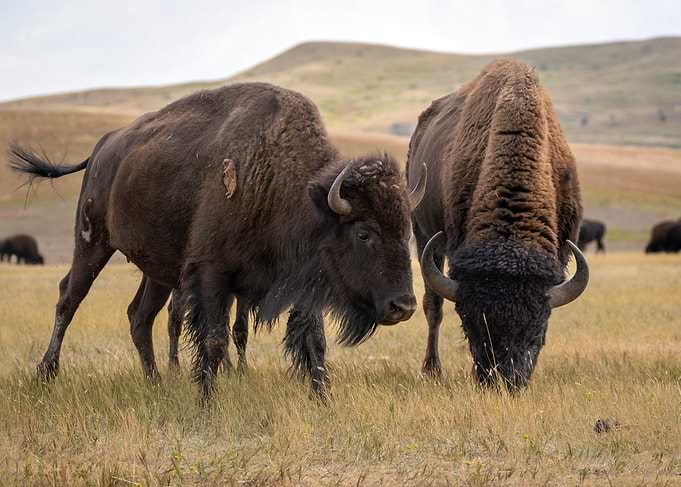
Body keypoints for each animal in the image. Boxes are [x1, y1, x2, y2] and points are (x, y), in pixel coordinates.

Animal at [10, 82, 426, 398]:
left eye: (406, 231)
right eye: (363, 232)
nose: (403, 306)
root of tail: (102, 148)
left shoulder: (301, 284)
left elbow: (313, 341)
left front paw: (323, 398)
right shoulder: (212, 274)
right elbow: (213, 339)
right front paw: (207, 401)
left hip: (157, 272)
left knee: (139, 317)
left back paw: (155, 381)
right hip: (93, 242)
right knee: (69, 298)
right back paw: (46, 373)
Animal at [408, 59, 589, 389]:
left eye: (536, 328)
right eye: (469, 325)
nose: (502, 380)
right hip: (424, 233)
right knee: (433, 306)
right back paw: (432, 369)